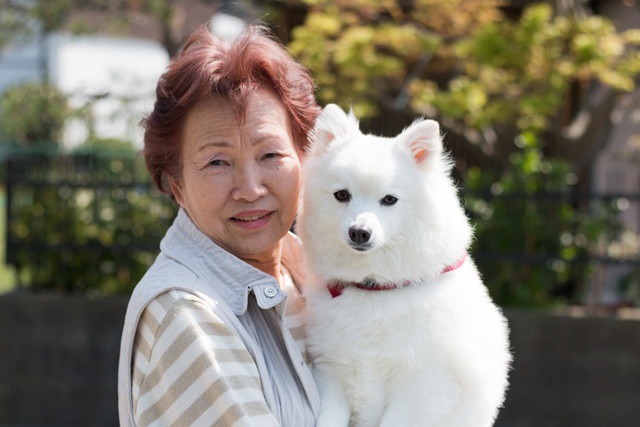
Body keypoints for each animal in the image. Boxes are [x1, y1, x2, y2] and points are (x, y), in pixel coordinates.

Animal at [298, 104, 512, 427]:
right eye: (342, 195)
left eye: (389, 199)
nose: (359, 232)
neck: (375, 287)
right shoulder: (331, 371)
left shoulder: (423, 385)